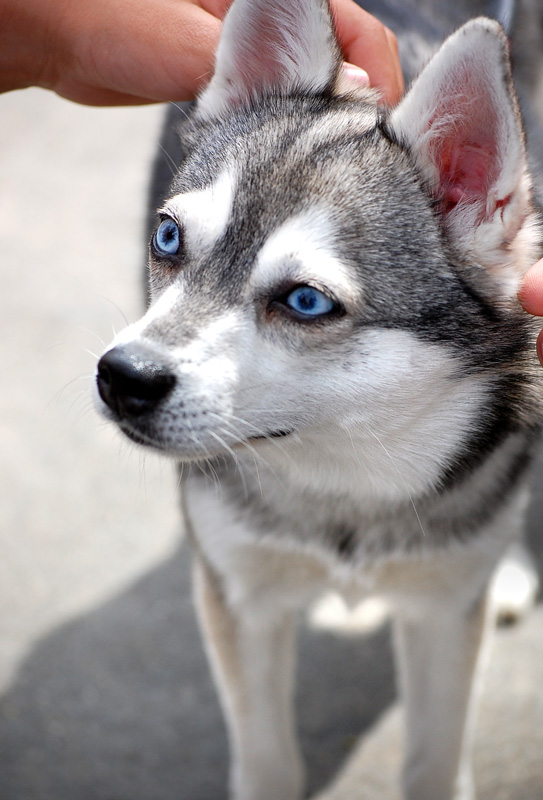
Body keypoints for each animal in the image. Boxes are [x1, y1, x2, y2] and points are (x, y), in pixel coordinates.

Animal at [96, 1, 543, 800]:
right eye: (169, 237)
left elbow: (434, 760)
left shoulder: (442, 614)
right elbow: (268, 762)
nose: (123, 376)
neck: (346, 479)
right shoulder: (239, 595)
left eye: (305, 301)